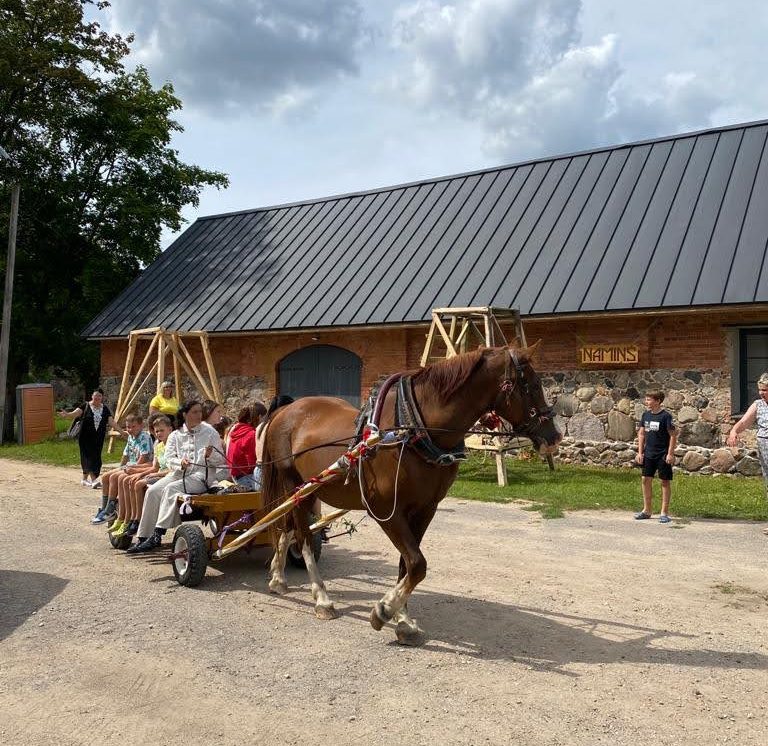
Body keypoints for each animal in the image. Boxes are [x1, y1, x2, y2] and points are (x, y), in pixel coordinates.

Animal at [260, 343, 561, 645]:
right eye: (532, 385)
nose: (554, 437)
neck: (413, 430)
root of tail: (286, 410)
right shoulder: (386, 511)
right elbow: (417, 563)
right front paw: (383, 610)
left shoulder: (425, 508)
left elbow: (407, 565)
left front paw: (402, 621)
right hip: (294, 485)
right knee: (303, 536)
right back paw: (322, 598)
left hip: (310, 489)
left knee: (287, 526)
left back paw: (277, 578)